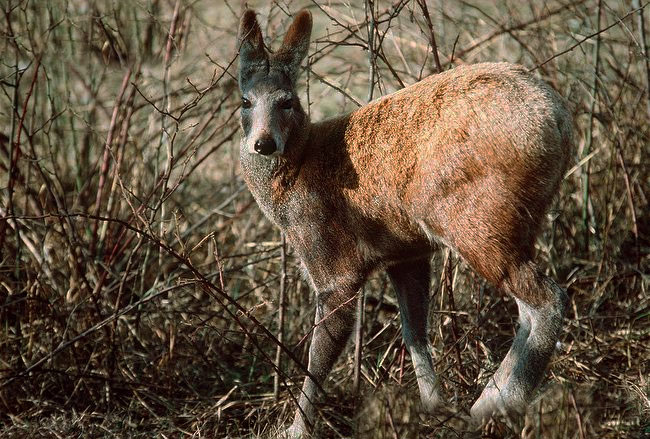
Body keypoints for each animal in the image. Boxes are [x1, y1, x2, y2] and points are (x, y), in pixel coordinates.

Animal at [235, 7, 568, 439]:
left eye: (287, 101)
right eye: (245, 100)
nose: (263, 144)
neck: (294, 175)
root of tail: (560, 119)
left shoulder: (333, 267)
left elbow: (318, 359)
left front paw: (295, 429)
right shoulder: (405, 254)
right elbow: (415, 332)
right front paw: (434, 407)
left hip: (479, 221)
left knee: (547, 300)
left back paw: (497, 404)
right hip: (518, 223)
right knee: (527, 309)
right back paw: (486, 400)